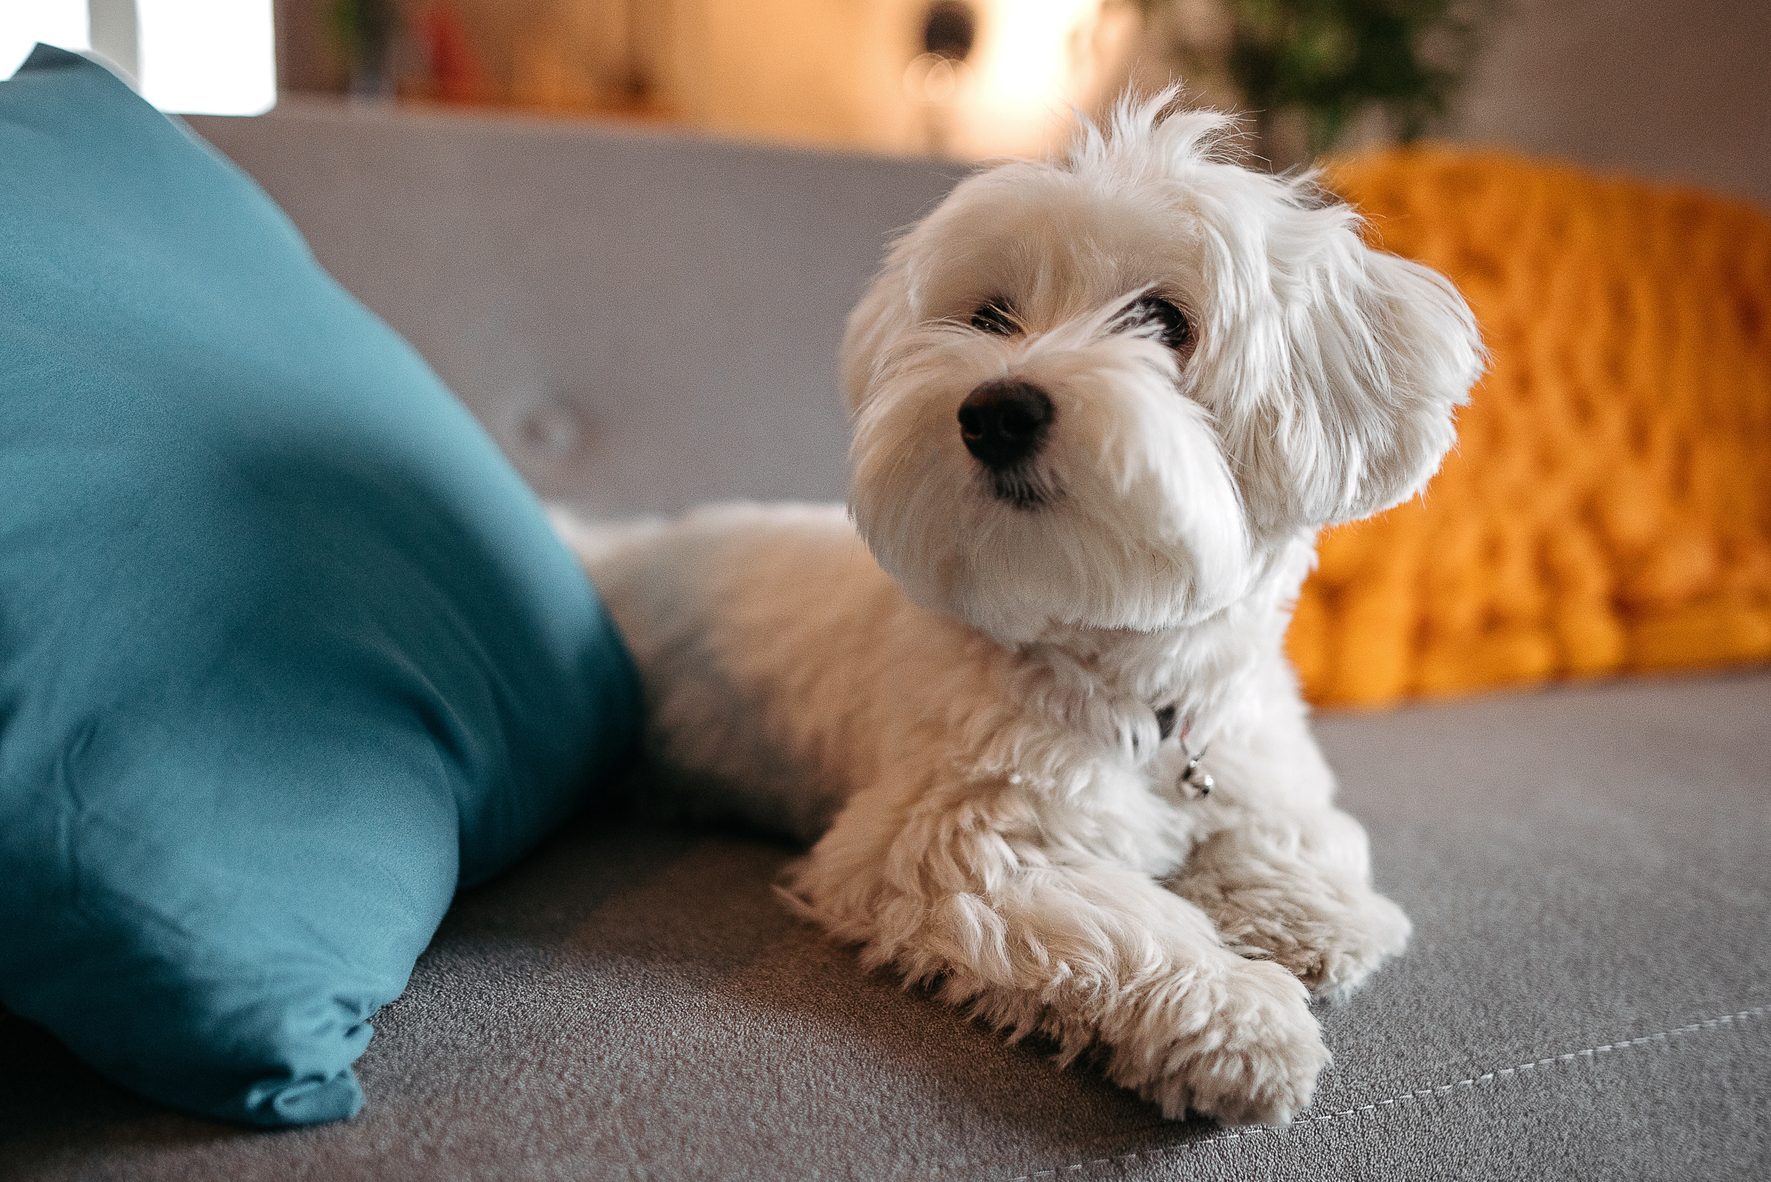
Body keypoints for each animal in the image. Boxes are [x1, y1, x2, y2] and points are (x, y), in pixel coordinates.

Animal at [552, 92, 1480, 1127]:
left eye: (1164, 320)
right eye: (990, 315)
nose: (996, 410)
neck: (1129, 684)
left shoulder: (1250, 752)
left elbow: (1292, 829)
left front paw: (1305, 909)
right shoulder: (949, 850)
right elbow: (1127, 928)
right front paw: (1237, 1018)